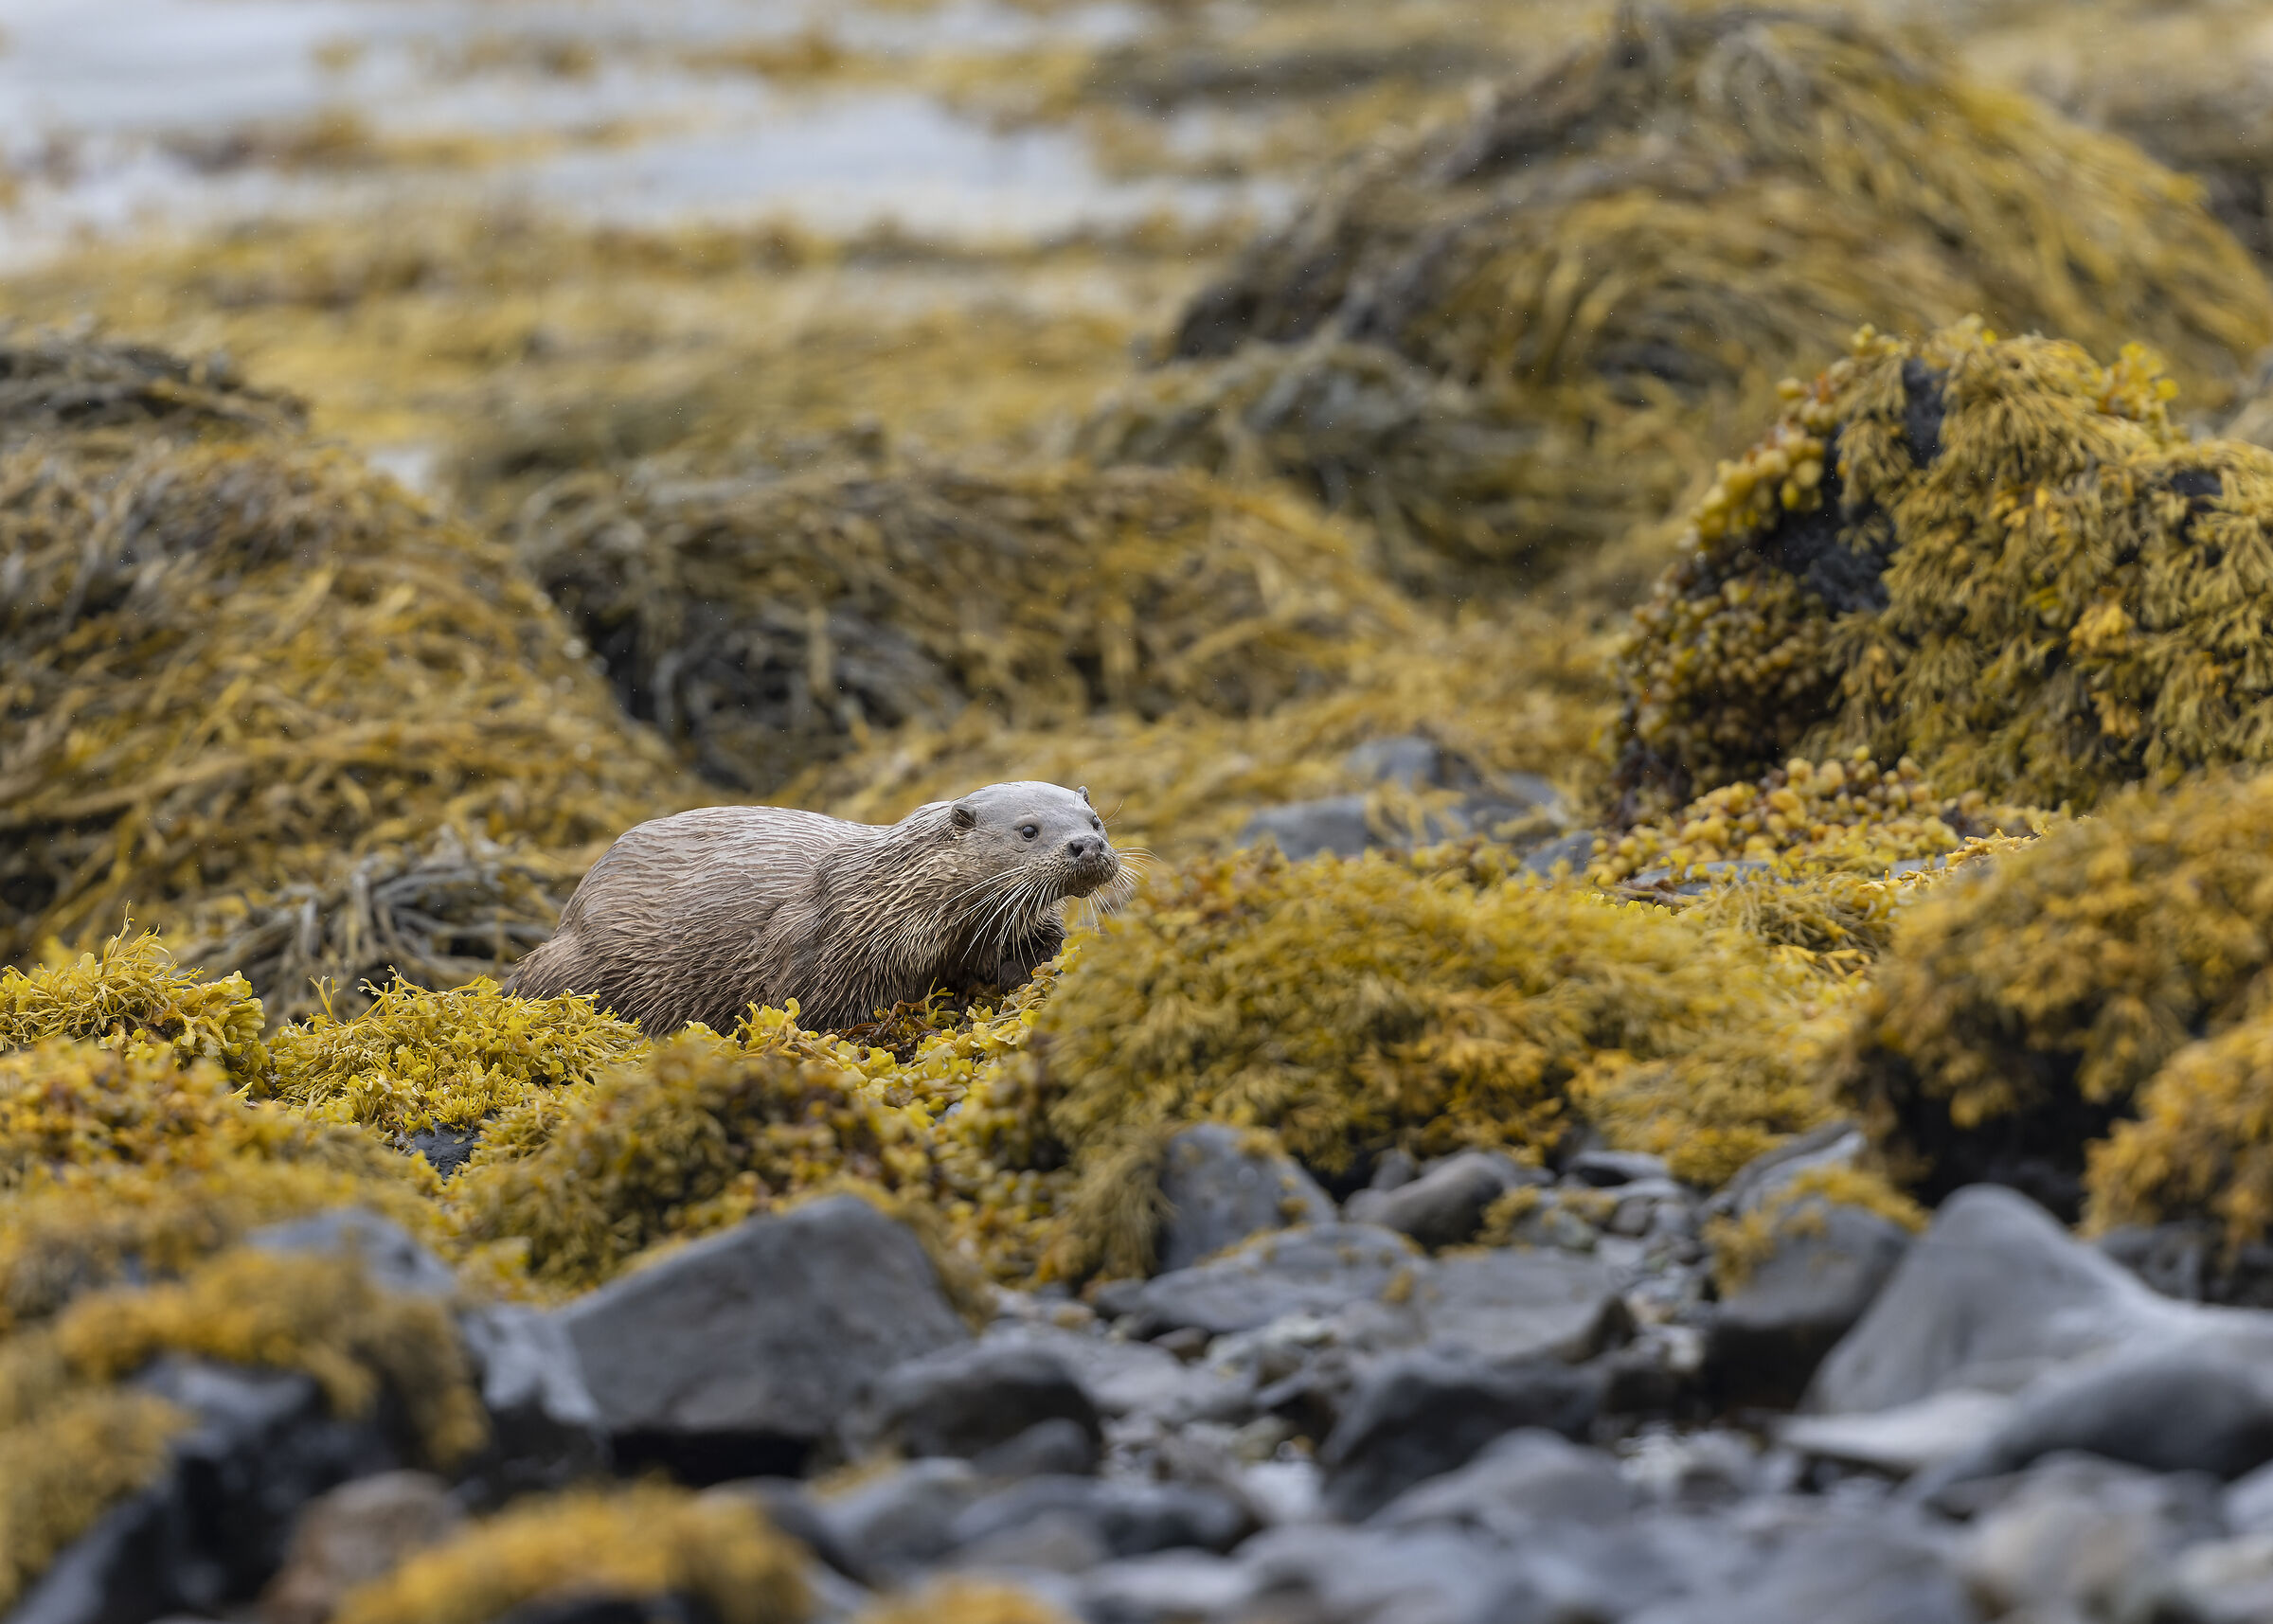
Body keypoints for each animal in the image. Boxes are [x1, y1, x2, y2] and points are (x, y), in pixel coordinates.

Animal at [507, 782, 1124, 1033]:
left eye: (1095, 822)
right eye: (1029, 830)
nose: (1087, 846)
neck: (888, 903)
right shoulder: (828, 954)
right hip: (576, 964)